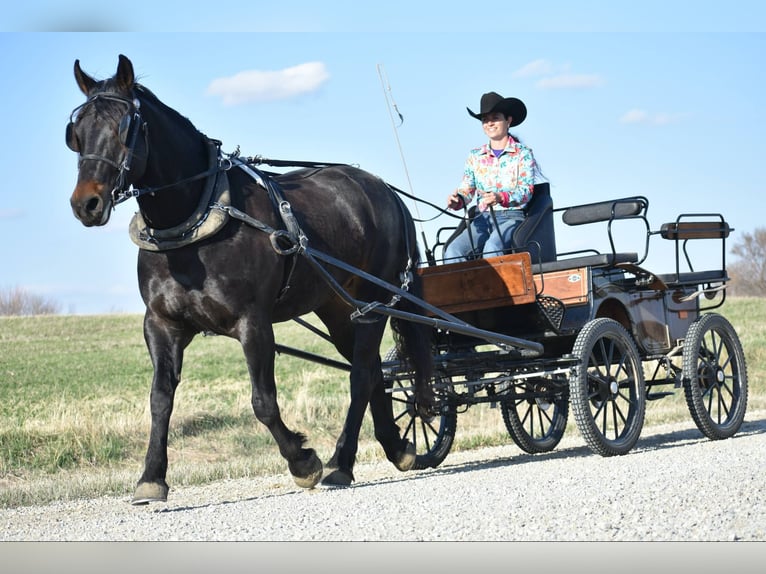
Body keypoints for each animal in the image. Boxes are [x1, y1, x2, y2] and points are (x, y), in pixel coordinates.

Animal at [66, 54, 434, 504]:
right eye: (76, 132)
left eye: (125, 127)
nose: (86, 203)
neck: (194, 219)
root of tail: (385, 191)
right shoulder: (161, 324)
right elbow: (159, 399)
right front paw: (151, 477)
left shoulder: (252, 322)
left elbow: (263, 401)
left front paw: (303, 461)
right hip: (337, 307)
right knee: (373, 371)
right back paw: (386, 449)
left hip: (373, 302)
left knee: (362, 373)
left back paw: (341, 461)